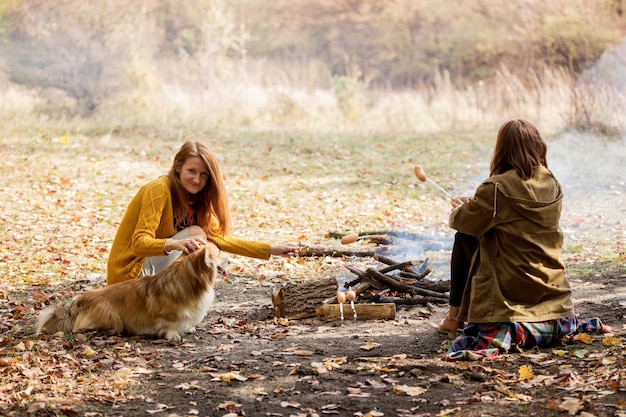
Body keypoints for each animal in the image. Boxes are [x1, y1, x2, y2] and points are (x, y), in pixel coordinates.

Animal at [35, 242, 219, 340]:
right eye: (218, 254)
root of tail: (80, 301)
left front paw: (188, 328)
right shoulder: (168, 314)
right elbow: (171, 324)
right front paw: (173, 335)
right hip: (111, 316)